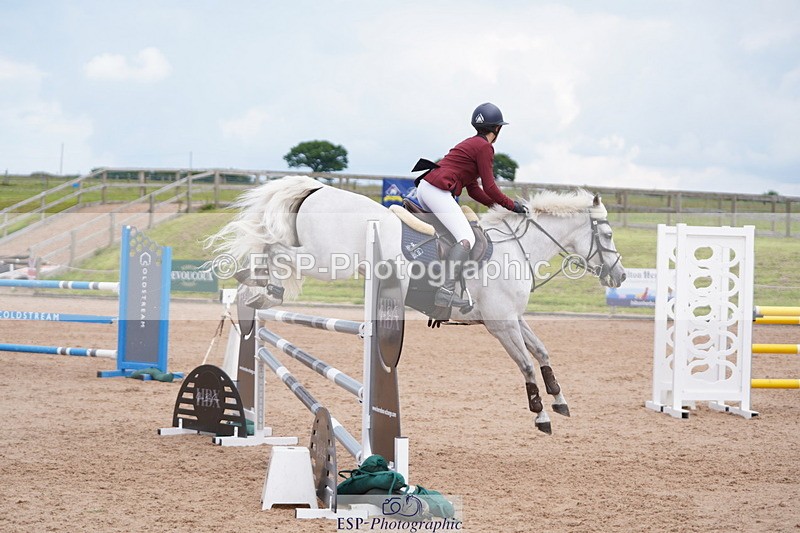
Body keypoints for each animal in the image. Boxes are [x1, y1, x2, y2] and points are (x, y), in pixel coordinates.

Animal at [210, 176, 626, 434]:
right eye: (606, 234)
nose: (620, 276)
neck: (517, 247)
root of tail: (317, 188)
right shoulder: (501, 324)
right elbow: (524, 362)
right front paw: (540, 416)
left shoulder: (512, 317)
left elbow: (541, 351)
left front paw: (559, 399)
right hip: (325, 260)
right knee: (278, 249)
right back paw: (259, 285)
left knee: (274, 249)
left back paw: (256, 289)